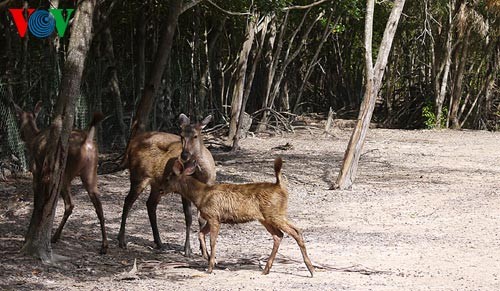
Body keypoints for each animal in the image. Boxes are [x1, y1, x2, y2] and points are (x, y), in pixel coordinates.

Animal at [15, 101, 109, 254]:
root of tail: (86, 141)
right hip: (91, 172)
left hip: (65, 172)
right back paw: (104, 246)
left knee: (70, 204)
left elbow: (37, 200)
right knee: (98, 205)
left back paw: (55, 236)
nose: (21, 136)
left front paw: (28, 235)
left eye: (18, 119)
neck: (33, 139)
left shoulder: (36, 171)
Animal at [119, 114, 217, 258]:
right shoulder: (184, 191)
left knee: (150, 204)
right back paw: (122, 241)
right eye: (181, 135)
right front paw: (187, 250)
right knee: (128, 201)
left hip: (156, 184)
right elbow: (188, 217)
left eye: (195, 136)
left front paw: (204, 251)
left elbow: (202, 219)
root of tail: (131, 145)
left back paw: (159, 242)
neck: (203, 176)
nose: (184, 155)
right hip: (139, 176)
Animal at [162, 157, 314, 278]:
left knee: (294, 232)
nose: (161, 190)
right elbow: (200, 234)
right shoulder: (214, 218)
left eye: (169, 177)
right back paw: (266, 269)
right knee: (281, 234)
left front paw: (210, 267)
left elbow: (212, 241)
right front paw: (208, 258)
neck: (200, 196)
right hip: (268, 217)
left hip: (274, 214)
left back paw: (311, 269)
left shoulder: (214, 216)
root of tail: (280, 186)